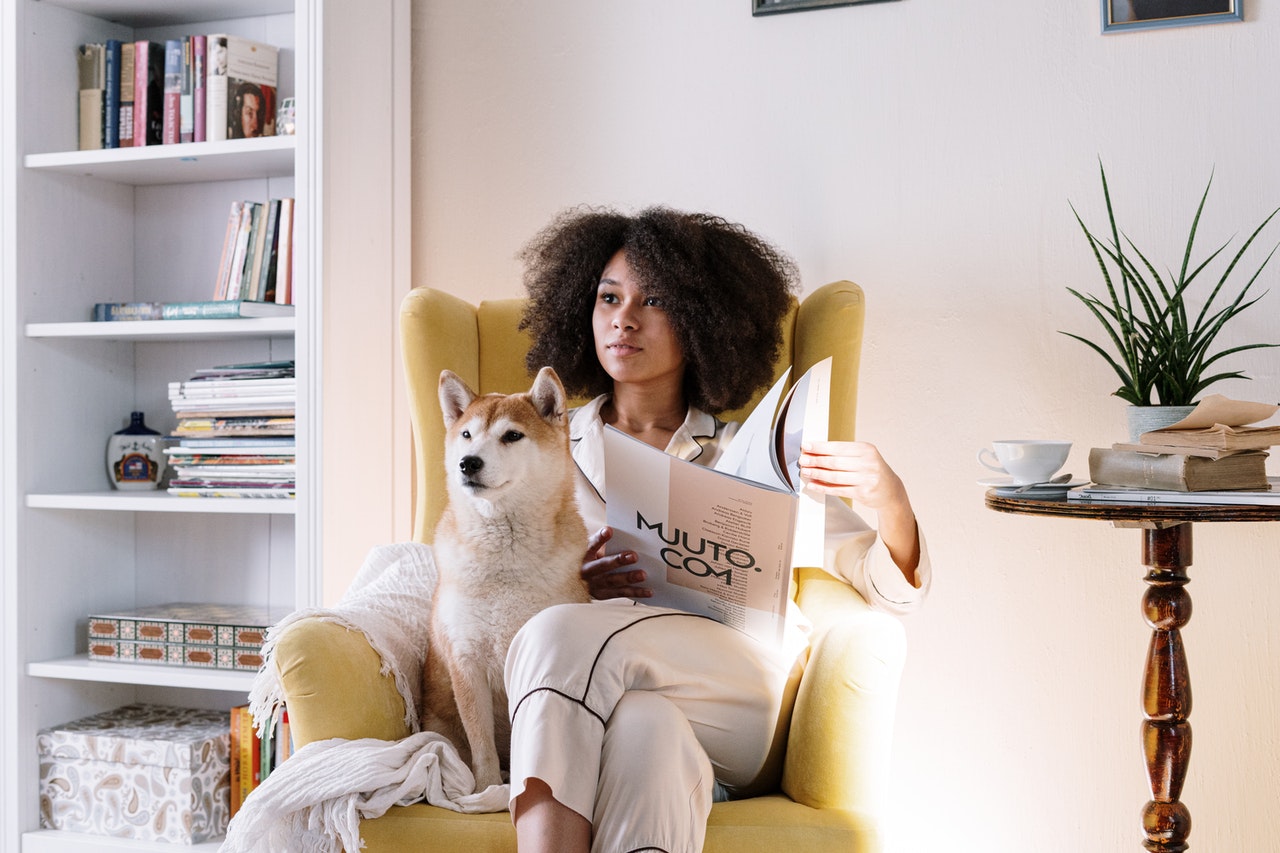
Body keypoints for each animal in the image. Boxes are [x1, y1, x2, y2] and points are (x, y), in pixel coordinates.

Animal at [424, 361, 593, 788]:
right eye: (467, 434)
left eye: (512, 436)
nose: (468, 462)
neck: (505, 563)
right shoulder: (466, 662)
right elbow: (481, 746)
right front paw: (487, 789)